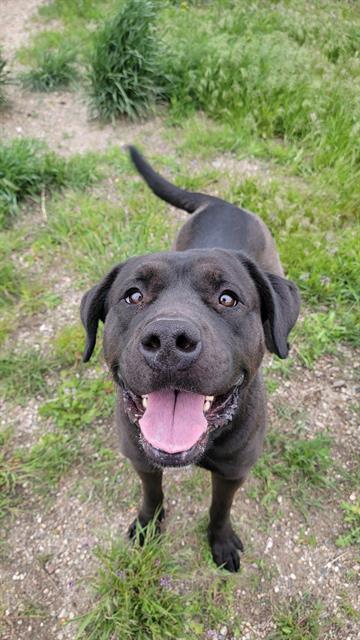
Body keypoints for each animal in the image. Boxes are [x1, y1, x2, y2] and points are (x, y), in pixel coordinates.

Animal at [80, 148, 300, 572]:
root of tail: (222, 203)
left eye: (228, 298)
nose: (169, 340)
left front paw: (221, 541)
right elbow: (152, 494)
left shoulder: (233, 472)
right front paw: (148, 526)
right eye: (133, 295)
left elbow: (220, 508)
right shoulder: (141, 459)